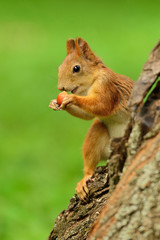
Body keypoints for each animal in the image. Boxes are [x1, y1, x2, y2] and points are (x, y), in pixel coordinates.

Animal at [49, 37, 134, 199]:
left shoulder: (107, 86)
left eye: (76, 68)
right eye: (58, 68)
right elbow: (88, 115)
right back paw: (85, 179)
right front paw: (55, 104)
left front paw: (72, 99)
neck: (89, 84)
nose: (61, 88)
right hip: (97, 134)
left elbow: (101, 105)